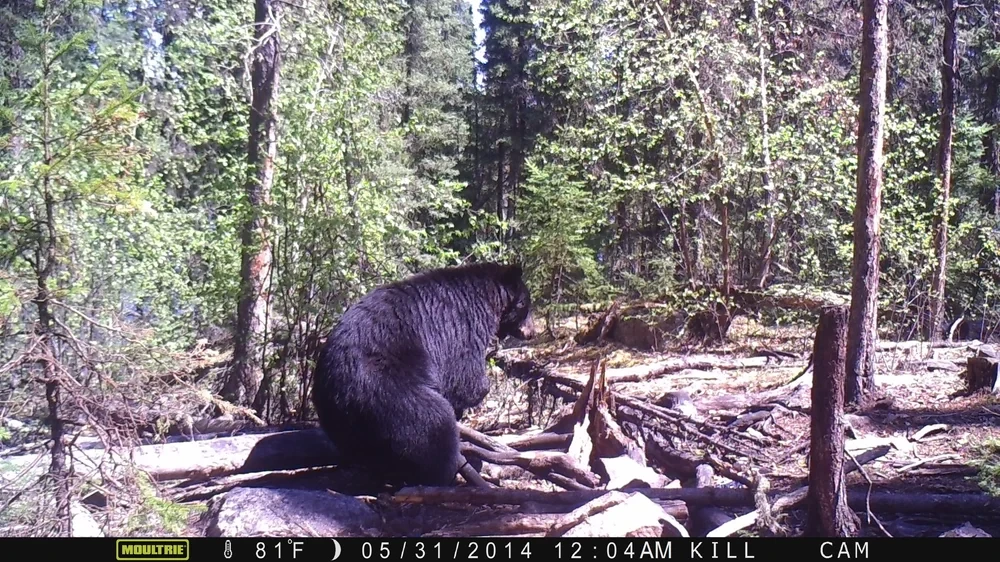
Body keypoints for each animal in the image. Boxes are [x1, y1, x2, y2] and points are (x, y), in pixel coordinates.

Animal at [311, 261, 537, 488]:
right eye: (526, 304)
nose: (532, 332)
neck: (484, 297)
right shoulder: (461, 326)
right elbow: (464, 378)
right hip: (391, 394)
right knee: (434, 424)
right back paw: (443, 472)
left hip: (342, 421)